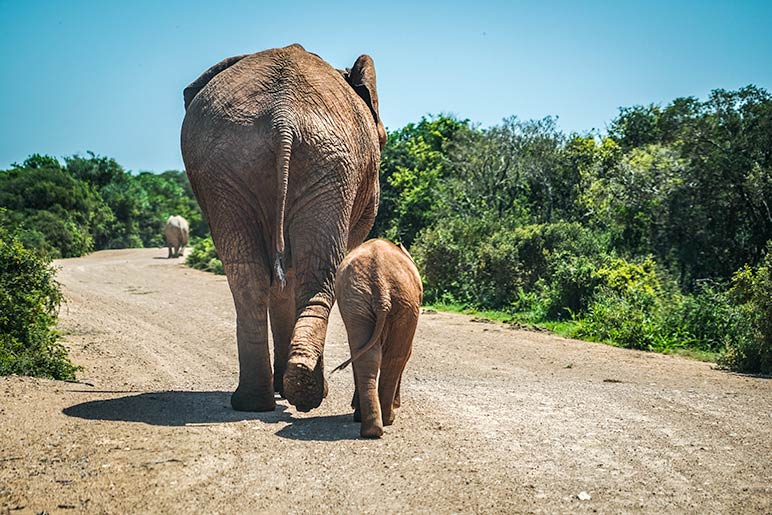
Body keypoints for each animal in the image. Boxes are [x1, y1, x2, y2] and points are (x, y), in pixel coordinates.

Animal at [181, 45, 386, 416]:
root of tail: (283, 117)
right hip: (327, 166)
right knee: (317, 274)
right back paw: (305, 391)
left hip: (228, 168)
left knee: (249, 278)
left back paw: (256, 400)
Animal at [332, 240, 422, 438]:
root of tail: (381, 287)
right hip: (404, 302)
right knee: (395, 357)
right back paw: (387, 419)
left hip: (358, 302)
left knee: (364, 356)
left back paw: (370, 427)